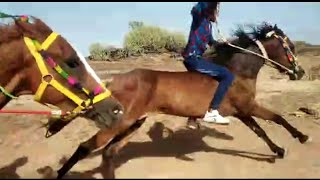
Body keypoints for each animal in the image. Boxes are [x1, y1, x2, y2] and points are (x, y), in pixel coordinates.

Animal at [55, 22, 310, 179]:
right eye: (290, 46)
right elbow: (276, 118)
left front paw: (278, 150)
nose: (300, 73)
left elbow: (261, 131)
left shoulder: (242, 111)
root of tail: (112, 82)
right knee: (85, 147)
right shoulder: (249, 107)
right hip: (121, 122)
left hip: (133, 123)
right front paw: (301, 137)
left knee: (108, 153)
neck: (238, 72)